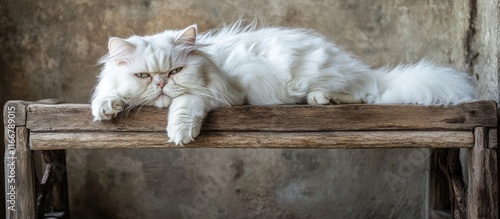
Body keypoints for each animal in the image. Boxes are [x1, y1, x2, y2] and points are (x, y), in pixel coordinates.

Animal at [91, 22, 476, 145]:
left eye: (174, 73)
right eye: (144, 76)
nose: (160, 85)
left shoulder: (225, 93)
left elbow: (186, 103)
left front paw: (180, 131)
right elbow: (106, 94)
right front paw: (106, 108)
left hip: (310, 75)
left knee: (364, 92)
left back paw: (321, 99)